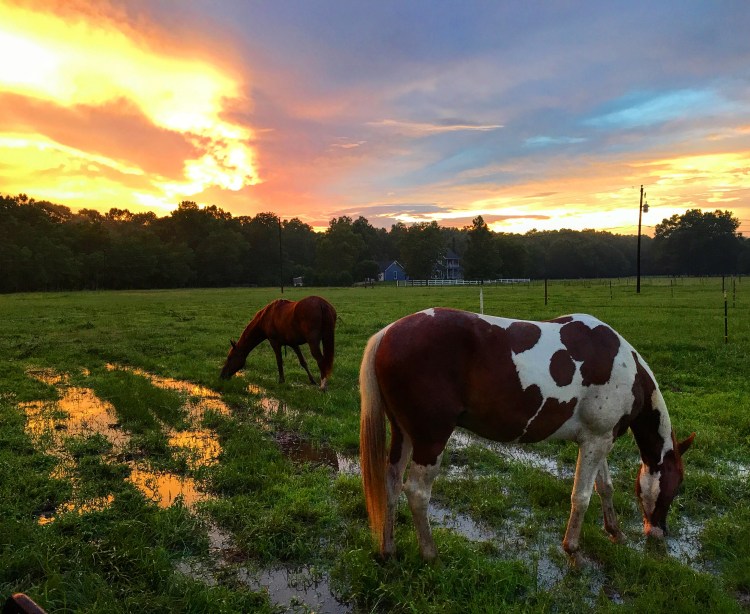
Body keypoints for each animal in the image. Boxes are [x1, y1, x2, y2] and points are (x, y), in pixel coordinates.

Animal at [359, 308, 694, 561]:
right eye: (677, 485)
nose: (658, 533)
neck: (623, 365)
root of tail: (387, 333)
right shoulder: (595, 441)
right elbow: (581, 496)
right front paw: (572, 547)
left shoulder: (599, 438)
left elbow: (605, 488)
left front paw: (615, 532)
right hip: (431, 440)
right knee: (416, 492)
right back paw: (431, 554)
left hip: (404, 434)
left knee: (391, 483)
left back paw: (388, 549)